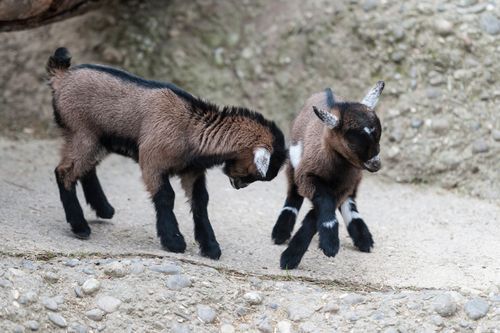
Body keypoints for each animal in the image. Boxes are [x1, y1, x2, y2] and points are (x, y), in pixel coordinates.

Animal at [49, 47, 290, 260]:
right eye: (256, 174)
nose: (239, 185)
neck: (190, 128)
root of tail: (61, 77)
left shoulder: (192, 171)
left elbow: (201, 201)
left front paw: (210, 247)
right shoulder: (152, 161)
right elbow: (166, 196)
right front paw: (173, 241)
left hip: (98, 140)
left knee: (86, 167)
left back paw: (104, 209)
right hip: (82, 132)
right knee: (64, 172)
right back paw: (80, 226)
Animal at [272, 81, 384, 268]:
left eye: (379, 137)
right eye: (352, 144)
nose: (376, 164)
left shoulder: (344, 185)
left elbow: (315, 215)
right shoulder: (306, 176)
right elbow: (323, 203)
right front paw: (327, 244)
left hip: (355, 179)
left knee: (350, 200)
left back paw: (363, 237)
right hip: (292, 166)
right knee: (293, 193)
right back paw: (280, 231)